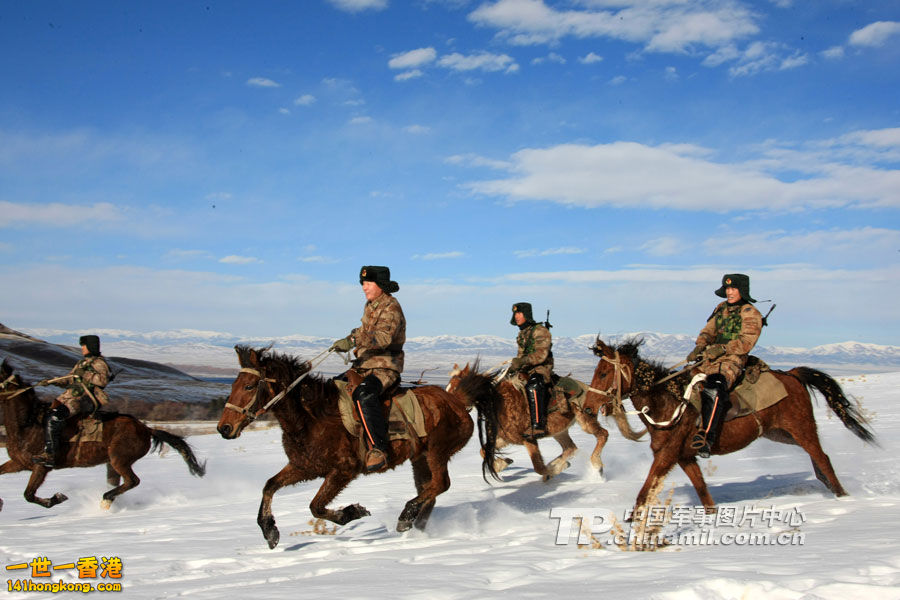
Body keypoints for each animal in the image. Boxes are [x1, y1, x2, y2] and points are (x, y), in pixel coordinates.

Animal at [0, 358, 206, 512]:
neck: (27, 425)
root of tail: (146, 429)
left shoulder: (41, 466)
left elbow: (28, 494)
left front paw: (57, 498)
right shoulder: (18, 463)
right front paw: (1, 503)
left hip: (119, 459)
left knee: (133, 481)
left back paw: (105, 500)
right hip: (111, 464)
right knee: (119, 483)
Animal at [215, 346, 502, 548]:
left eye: (249, 385)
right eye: (233, 384)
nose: (224, 428)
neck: (313, 416)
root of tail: (458, 400)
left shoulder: (343, 470)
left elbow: (316, 506)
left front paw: (353, 512)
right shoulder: (304, 467)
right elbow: (269, 486)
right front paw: (270, 531)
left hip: (437, 452)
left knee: (441, 484)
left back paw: (405, 515)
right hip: (419, 459)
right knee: (429, 491)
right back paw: (414, 527)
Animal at [446, 360, 644, 482]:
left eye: (457, 388)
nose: (450, 408)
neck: (501, 401)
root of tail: (591, 389)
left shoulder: (529, 439)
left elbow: (538, 466)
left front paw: (550, 472)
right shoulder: (506, 438)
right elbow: (483, 450)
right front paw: (503, 464)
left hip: (585, 421)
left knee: (603, 434)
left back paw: (595, 465)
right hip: (560, 431)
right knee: (570, 448)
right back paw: (561, 463)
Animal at [588, 336, 876, 512]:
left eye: (603, 373)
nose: (589, 407)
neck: (668, 401)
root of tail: (792, 374)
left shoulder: (667, 454)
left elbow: (645, 490)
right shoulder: (685, 457)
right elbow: (702, 491)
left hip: (801, 428)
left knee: (822, 457)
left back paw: (843, 496)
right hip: (779, 433)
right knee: (817, 458)